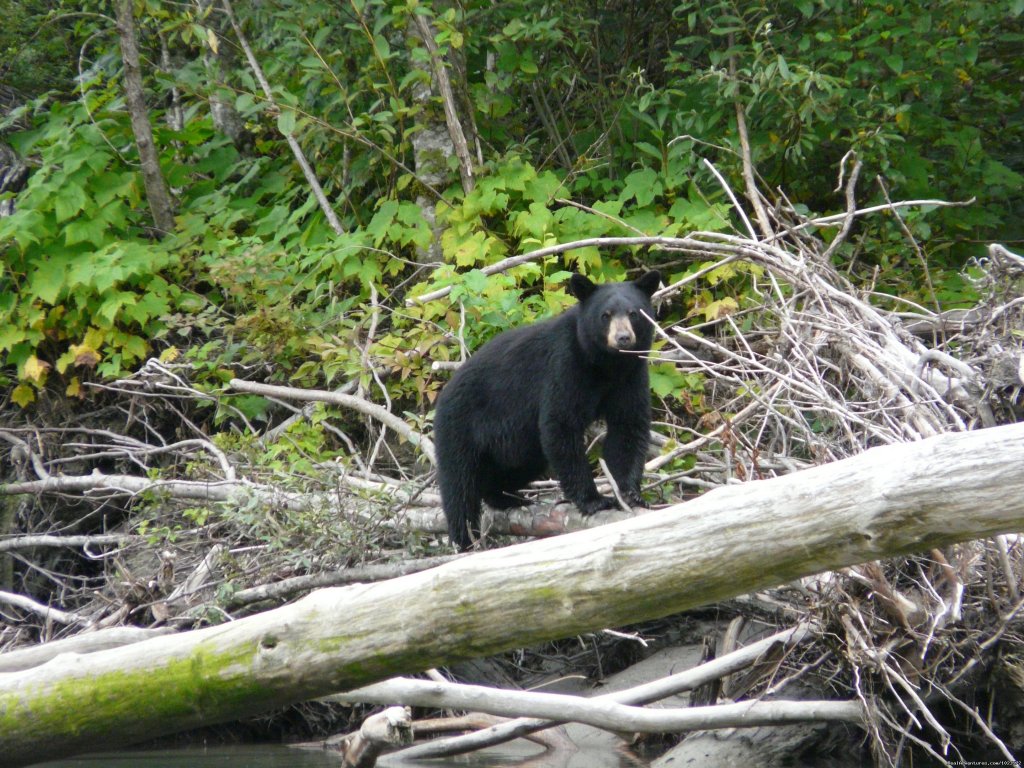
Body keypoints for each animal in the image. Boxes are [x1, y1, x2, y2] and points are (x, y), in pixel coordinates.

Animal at [434, 268, 659, 548]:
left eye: (633, 313)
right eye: (605, 315)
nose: (623, 338)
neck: (606, 365)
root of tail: (444, 392)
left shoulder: (631, 375)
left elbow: (628, 426)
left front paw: (630, 494)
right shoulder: (565, 365)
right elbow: (561, 424)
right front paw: (594, 500)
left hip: (518, 444)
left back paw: (507, 497)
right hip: (460, 427)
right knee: (459, 488)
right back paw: (465, 540)